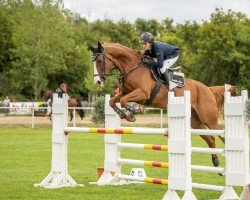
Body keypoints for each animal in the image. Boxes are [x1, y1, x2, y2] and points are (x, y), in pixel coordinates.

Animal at [89, 41, 237, 169]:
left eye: (100, 61)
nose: (98, 82)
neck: (132, 67)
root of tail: (208, 89)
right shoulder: (125, 92)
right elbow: (112, 101)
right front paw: (124, 114)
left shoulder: (143, 93)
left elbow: (125, 101)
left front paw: (134, 112)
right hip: (195, 122)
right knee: (211, 139)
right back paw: (216, 162)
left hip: (208, 118)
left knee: (222, 136)